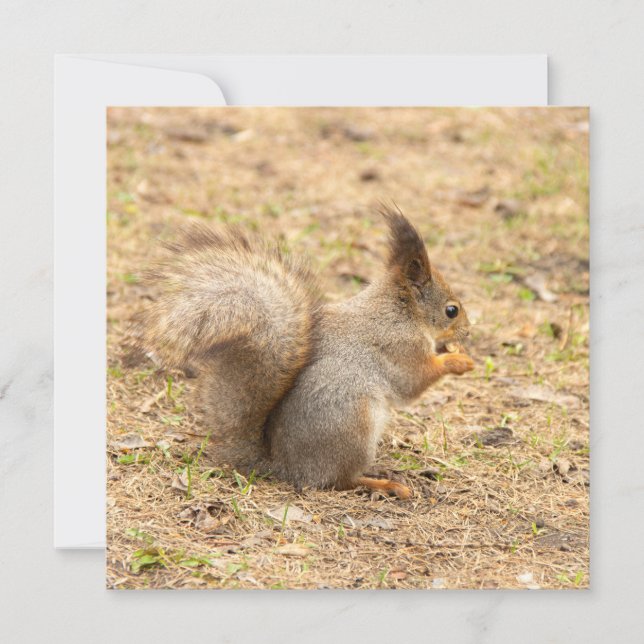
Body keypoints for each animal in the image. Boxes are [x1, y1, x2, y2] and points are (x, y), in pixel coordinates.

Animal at [129, 206, 474, 499]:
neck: (400, 312)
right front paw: (458, 360)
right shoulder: (400, 347)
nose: (468, 332)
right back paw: (384, 484)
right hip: (353, 425)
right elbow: (413, 382)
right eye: (451, 310)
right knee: (340, 481)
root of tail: (285, 467)